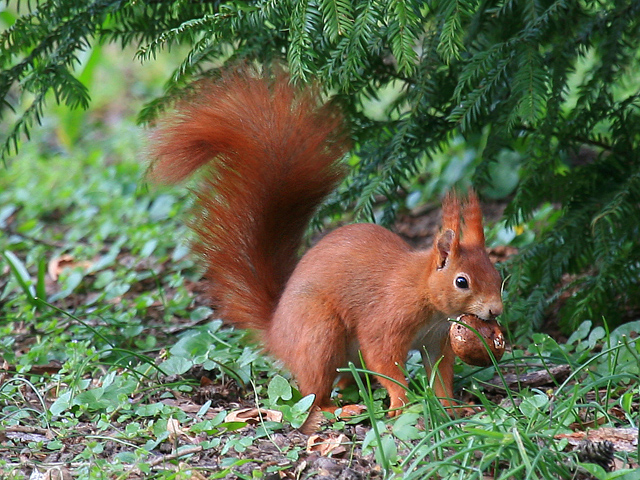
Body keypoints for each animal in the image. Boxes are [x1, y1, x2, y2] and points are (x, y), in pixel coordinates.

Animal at [150, 66, 504, 424]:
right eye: (462, 281)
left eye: (497, 275)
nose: (495, 310)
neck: (422, 290)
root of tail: (276, 332)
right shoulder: (386, 321)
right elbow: (385, 362)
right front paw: (402, 404)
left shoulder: (436, 340)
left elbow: (441, 376)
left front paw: (453, 409)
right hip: (319, 334)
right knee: (314, 394)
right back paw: (341, 408)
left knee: (344, 380)